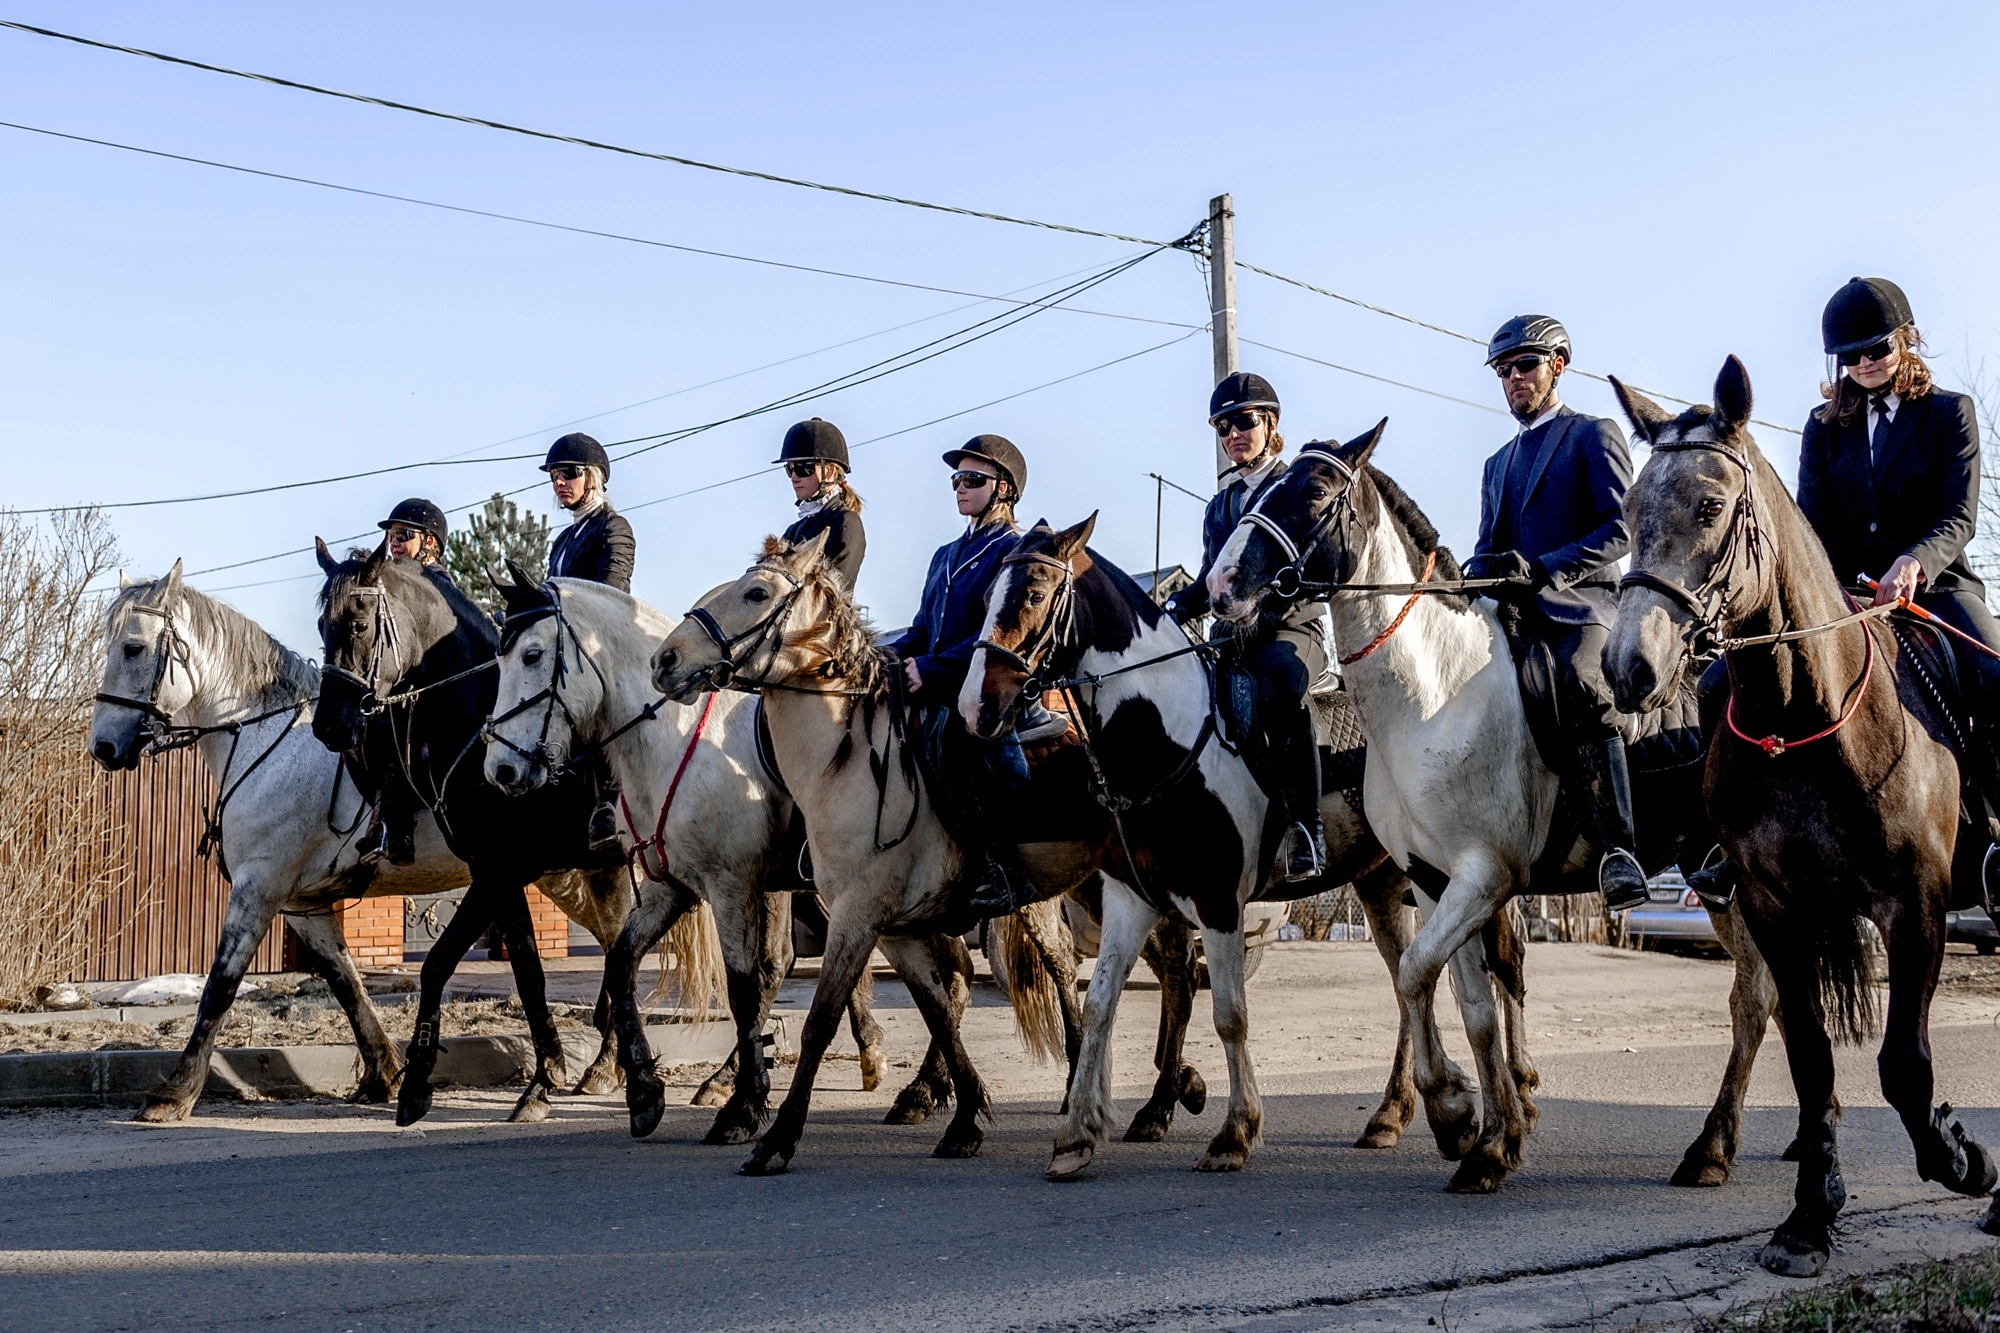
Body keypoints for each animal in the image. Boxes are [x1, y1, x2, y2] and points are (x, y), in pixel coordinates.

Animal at [86, 560, 624, 1120]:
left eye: (132, 647)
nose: (103, 746)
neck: (264, 740)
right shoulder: (303, 906)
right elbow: (347, 984)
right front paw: (383, 1072)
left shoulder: (258, 888)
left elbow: (220, 985)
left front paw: (175, 1091)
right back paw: (605, 1065)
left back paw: (607, 1065)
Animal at [652, 528, 1088, 1176]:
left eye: (756, 593)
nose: (665, 661)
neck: (848, 759)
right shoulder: (896, 927)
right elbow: (937, 1010)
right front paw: (963, 1119)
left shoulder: (851, 914)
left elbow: (818, 1019)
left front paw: (775, 1137)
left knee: (1074, 964)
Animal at [964, 512, 1448, 1168]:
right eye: (987, 594)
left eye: (1036, 593)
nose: (976, 706)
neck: (1168, 736)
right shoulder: (1132, 899)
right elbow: (1100, 1004)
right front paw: (1078, 1136)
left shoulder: (1218, 903)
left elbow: (1229, 1015)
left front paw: (1235, 1131)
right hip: (1380, 886)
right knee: (1407, 985)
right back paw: (1390, 1115)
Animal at [1608, 356, 2000, 1280]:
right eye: (1630, 509)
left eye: (1711, 506)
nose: (1628, 667)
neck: (1803, 719)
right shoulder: (1772, 904)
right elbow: (1812, 1053)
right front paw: (1809, 1219)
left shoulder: (1917, 905)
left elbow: (1904, 1066)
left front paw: (1961, 1156)